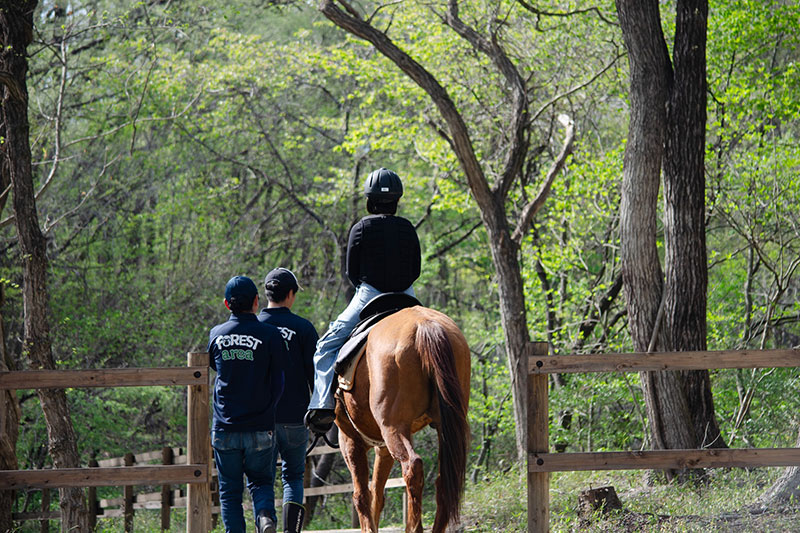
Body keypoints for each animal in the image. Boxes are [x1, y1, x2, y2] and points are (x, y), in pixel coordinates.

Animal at [334, 306, 472, 528]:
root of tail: (424, 325)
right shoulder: (382, 448)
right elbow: (376, 495)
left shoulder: (350, 440)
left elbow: (361, 496)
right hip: (442, 428)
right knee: (443, 481)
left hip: (393, 428)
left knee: (412, 467)